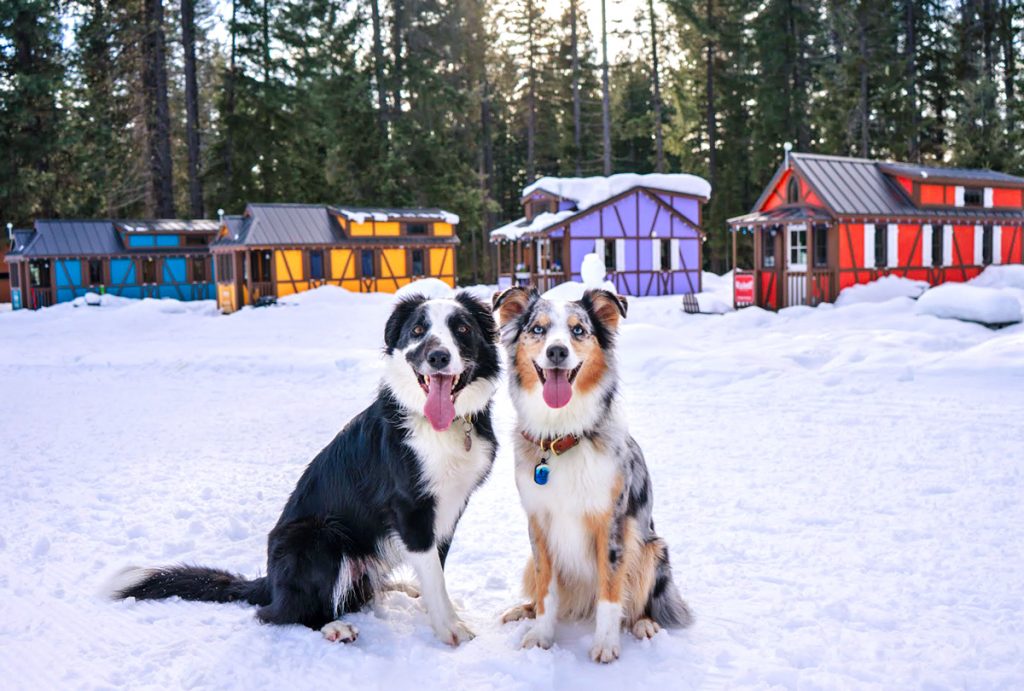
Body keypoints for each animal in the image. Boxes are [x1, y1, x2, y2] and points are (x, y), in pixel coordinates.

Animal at [111, 292, 499, 646]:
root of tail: (270, 583)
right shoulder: (410, 509)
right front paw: (450, 629)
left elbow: (436, 569)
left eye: (462, 329)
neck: (440, 426)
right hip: (318, 536)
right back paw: (333, 627)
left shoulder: (447, 510)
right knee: (279, 613)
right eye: (418, 330)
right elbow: (433, 574)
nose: (438, 357)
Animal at [493, 288, 692, 663]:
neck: (562, 436)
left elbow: (611, 592)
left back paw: (644, 625)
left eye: (579, 330)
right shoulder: (539, 524)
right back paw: (521, 611)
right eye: (538, 329)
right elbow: (546, 590)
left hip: (650, 548)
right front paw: (541, 636)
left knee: (637, 602)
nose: (557, 351)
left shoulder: (611, 523)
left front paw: (605, 645)